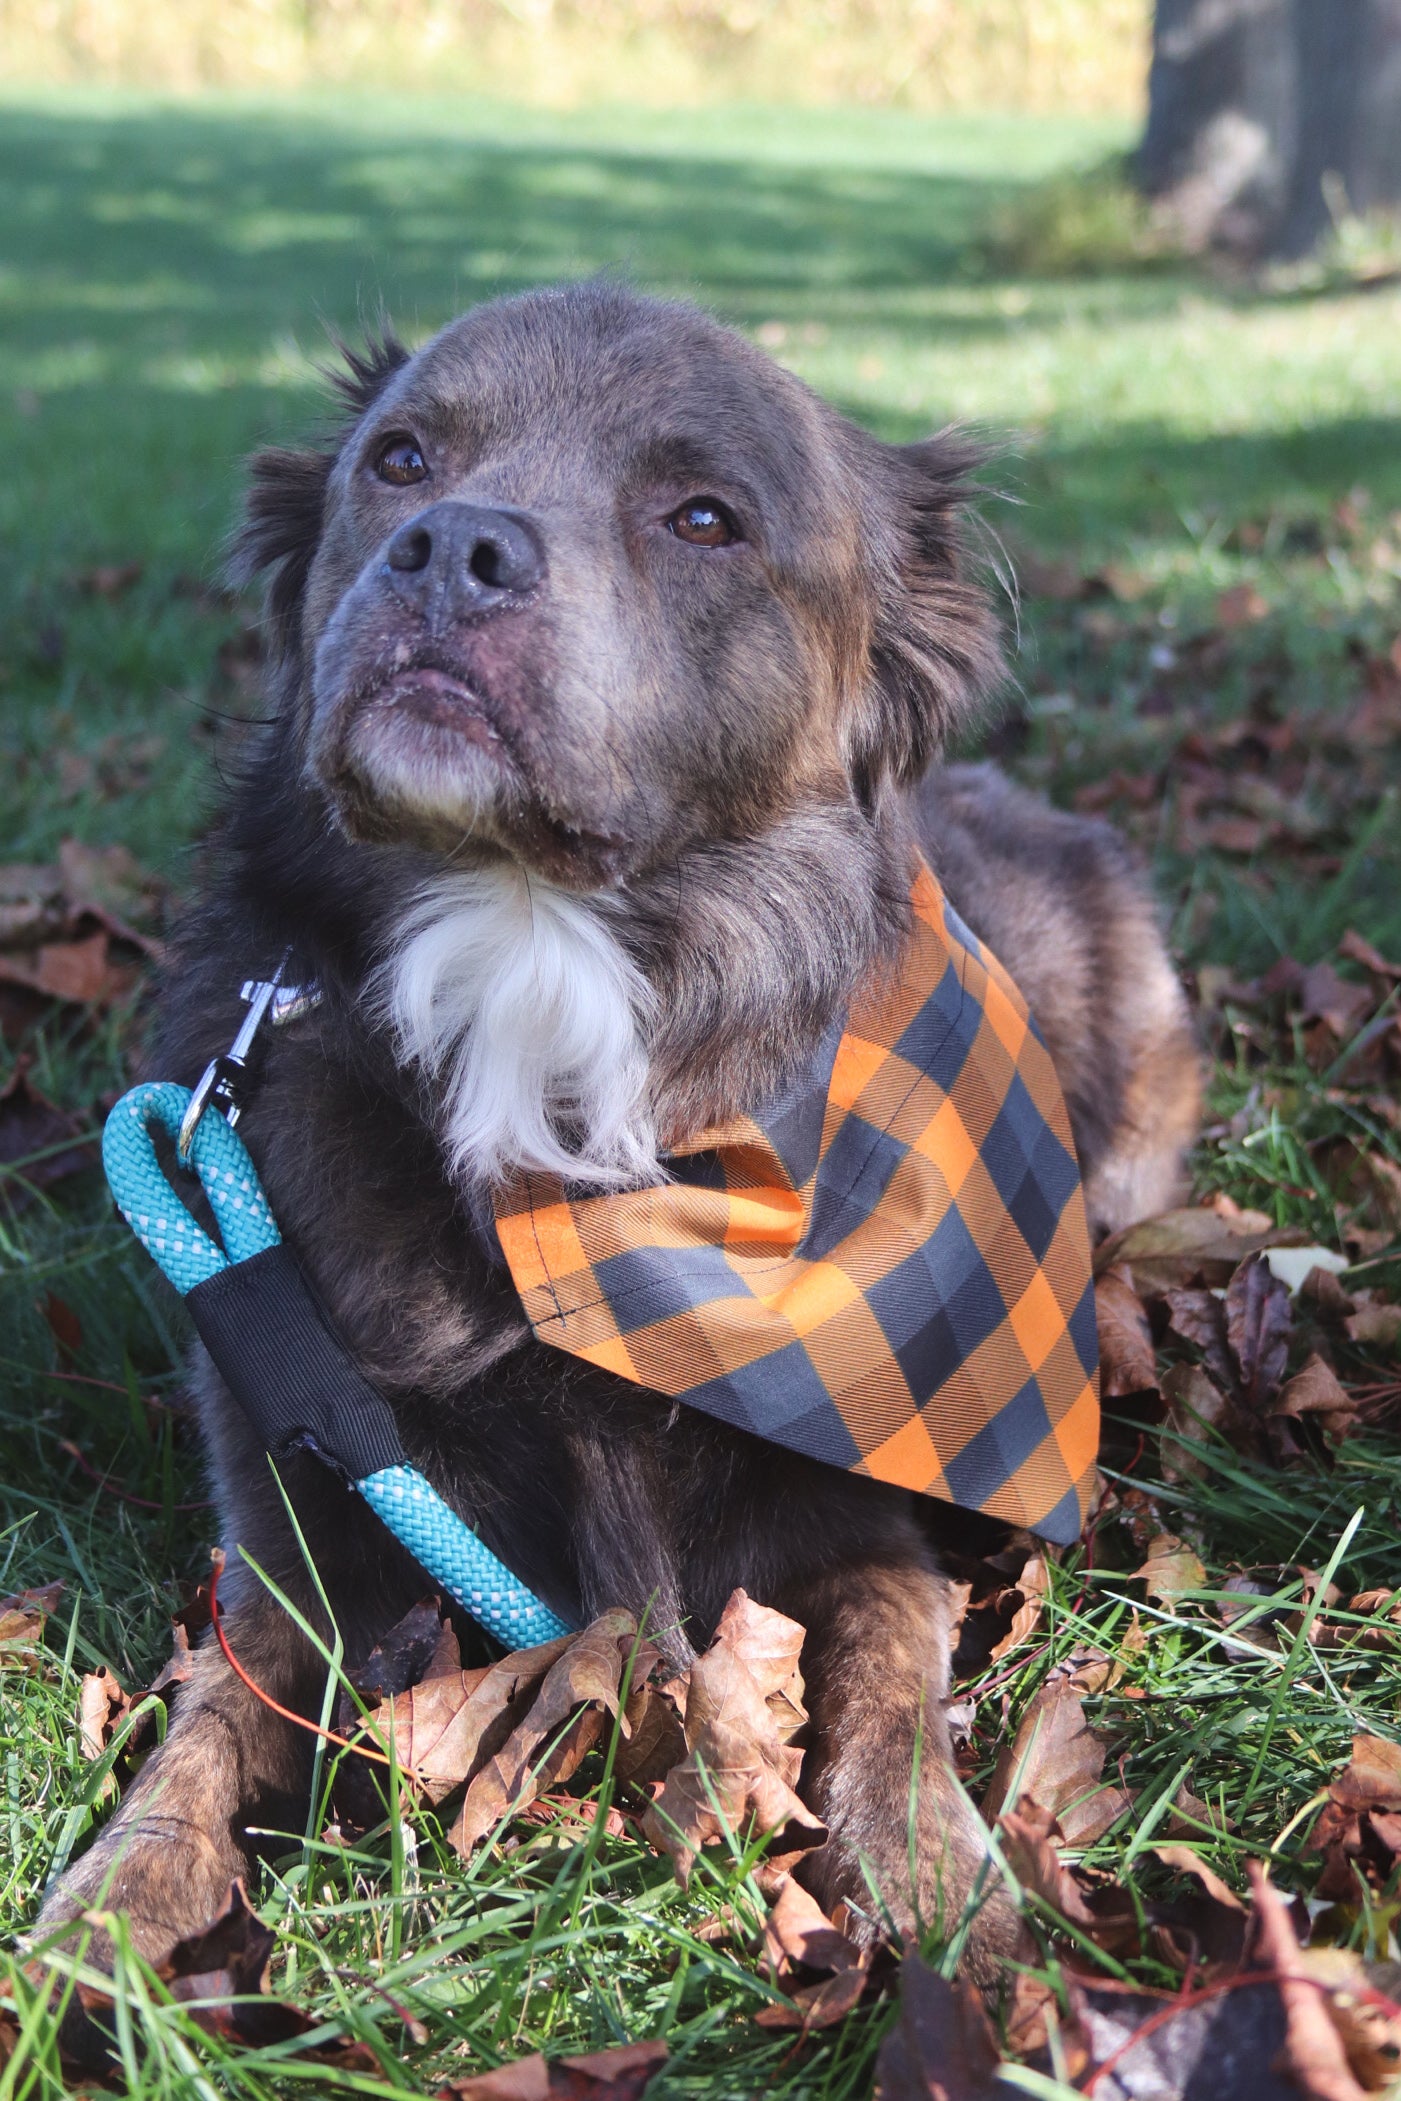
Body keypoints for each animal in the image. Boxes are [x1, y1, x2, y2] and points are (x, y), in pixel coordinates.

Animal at [38, 287, 1193, 1974]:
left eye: (703, 516)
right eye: (400, 458)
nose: (451, 546)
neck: (533, 980)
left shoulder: (858, 1521)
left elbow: (889, 1721)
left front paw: (959, 1926)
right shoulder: (300, 1535)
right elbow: (194, 1756)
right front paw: (97, 1934)